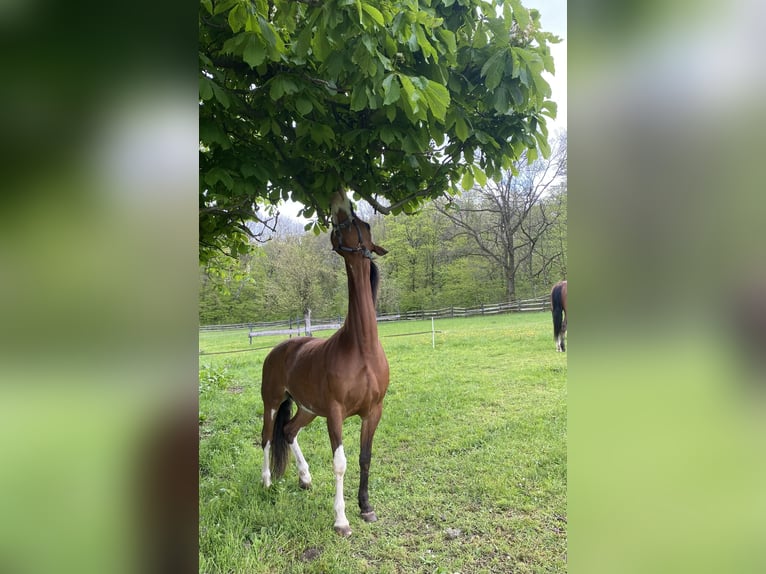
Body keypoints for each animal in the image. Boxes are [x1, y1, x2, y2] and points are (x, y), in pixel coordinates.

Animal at [259, 191, 389, 537]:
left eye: (362, 224)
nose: (338, 196)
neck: (361, 349)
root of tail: (279, 349)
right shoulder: (335, 413)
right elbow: (340, 463)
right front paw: (341, 520)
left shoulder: (373, 412)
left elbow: (365, 457)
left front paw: (366, 508)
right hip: (273, 403)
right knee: (267, 436)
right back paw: (266, 481)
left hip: (307, 408)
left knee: (289, 432)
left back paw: (305, 478)